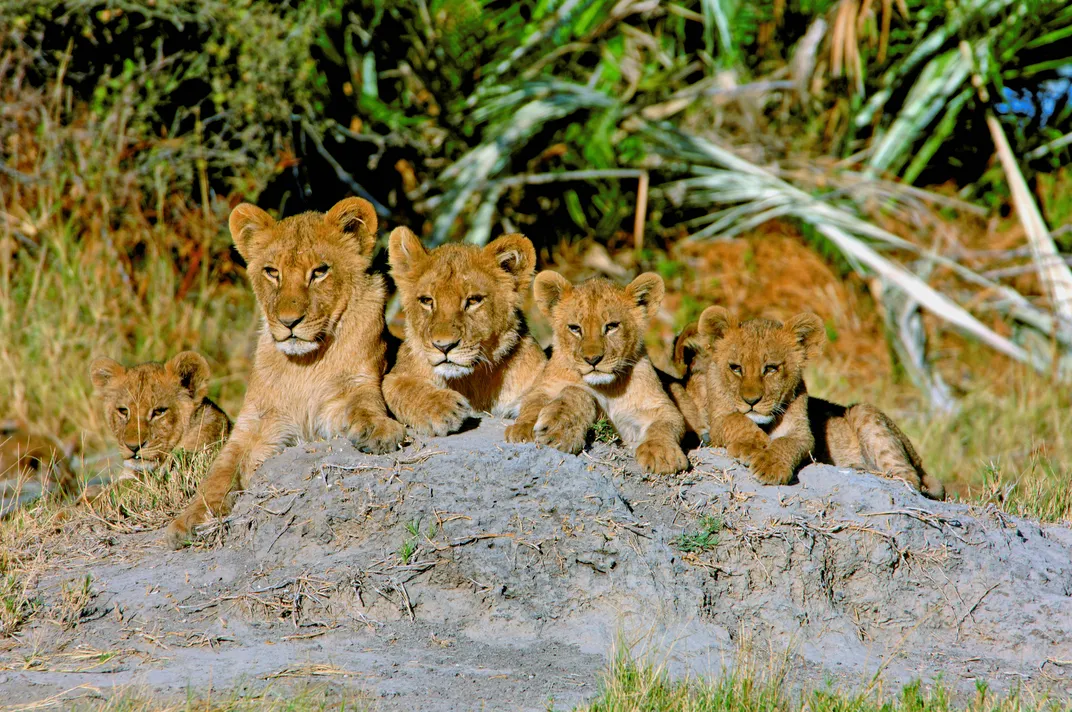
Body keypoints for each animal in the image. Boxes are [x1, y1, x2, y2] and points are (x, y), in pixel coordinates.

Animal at [165, 198, 406, 548]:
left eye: (319, 271)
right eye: (272, 272)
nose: (289, 322)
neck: (303, 366)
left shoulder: (350, 392)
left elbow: (364, 405)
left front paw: (379, 431)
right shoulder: (256, 422)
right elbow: (220, 471)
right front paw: (189, 519)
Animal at [382, 228, 547, 436]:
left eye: (474, 300)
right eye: (427, 301)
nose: (444, 346)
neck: (471, 382)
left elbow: (546, 395)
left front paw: (529, 427)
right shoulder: (393, 375)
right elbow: (401, 387)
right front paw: (442, 409)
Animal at [504, 271, 690, 475]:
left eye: (611, 326)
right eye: (575, 328)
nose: (592, 359)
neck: (607, 387)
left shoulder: (660, 406)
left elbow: (665, 424)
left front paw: (662, 453)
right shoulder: (544, 388)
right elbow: (541, 402)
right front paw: (532, 429)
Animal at [692, 307, 944, 499]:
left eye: (771, 368)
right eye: (736, 368)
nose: (751, 401)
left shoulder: (804, 436)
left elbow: (786, 444)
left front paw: (769, 466)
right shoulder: (715, 425)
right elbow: (734, 420)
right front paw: (751, 446)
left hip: (862, 411)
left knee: (909, 477)